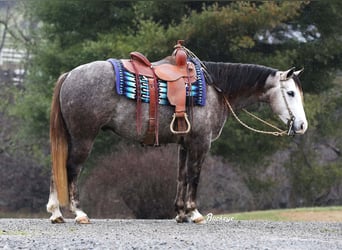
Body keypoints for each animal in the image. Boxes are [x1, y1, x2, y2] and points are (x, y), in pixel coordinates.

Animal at [46, 55, 308, 225]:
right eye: (290, 93)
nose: (302, 126)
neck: (215, 89)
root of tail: (69, 75)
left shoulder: (185, 144)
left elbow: (182, 176)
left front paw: (181, 213)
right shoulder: (201, 143)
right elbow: (194, 176)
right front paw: (194, 212)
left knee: (57, 170)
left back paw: (56, 213)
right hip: (83, 138)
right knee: (71, 169)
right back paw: (79, 213)